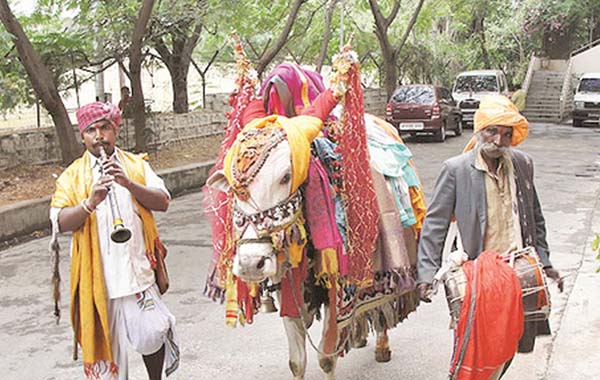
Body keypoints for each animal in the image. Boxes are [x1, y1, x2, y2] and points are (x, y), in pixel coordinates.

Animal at [203, 36, 426, 380]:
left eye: (286, 176)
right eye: (232, 183)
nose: (251, 264)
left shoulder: (338, 292)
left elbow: (326, 358)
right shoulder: (289, 291)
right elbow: (297, 360)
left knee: (383, 306)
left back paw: (381, 345)